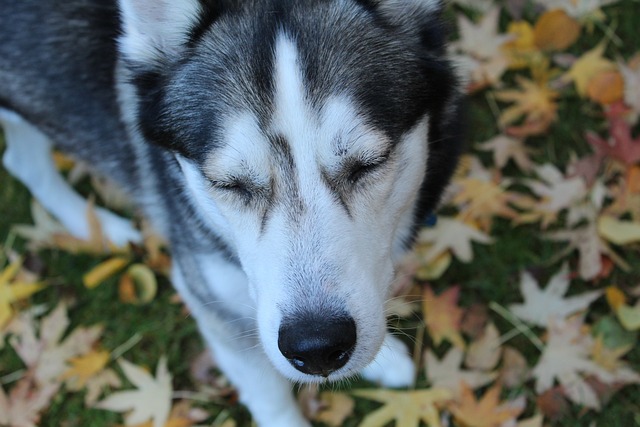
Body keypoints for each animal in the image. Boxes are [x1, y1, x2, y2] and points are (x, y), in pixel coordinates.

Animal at [0, 0, 462, 424]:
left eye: (368, 164)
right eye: (230, 184)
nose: (317, 347)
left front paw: (385, 357)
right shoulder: (215, 303)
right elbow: (272, 400)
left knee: (22, 162)